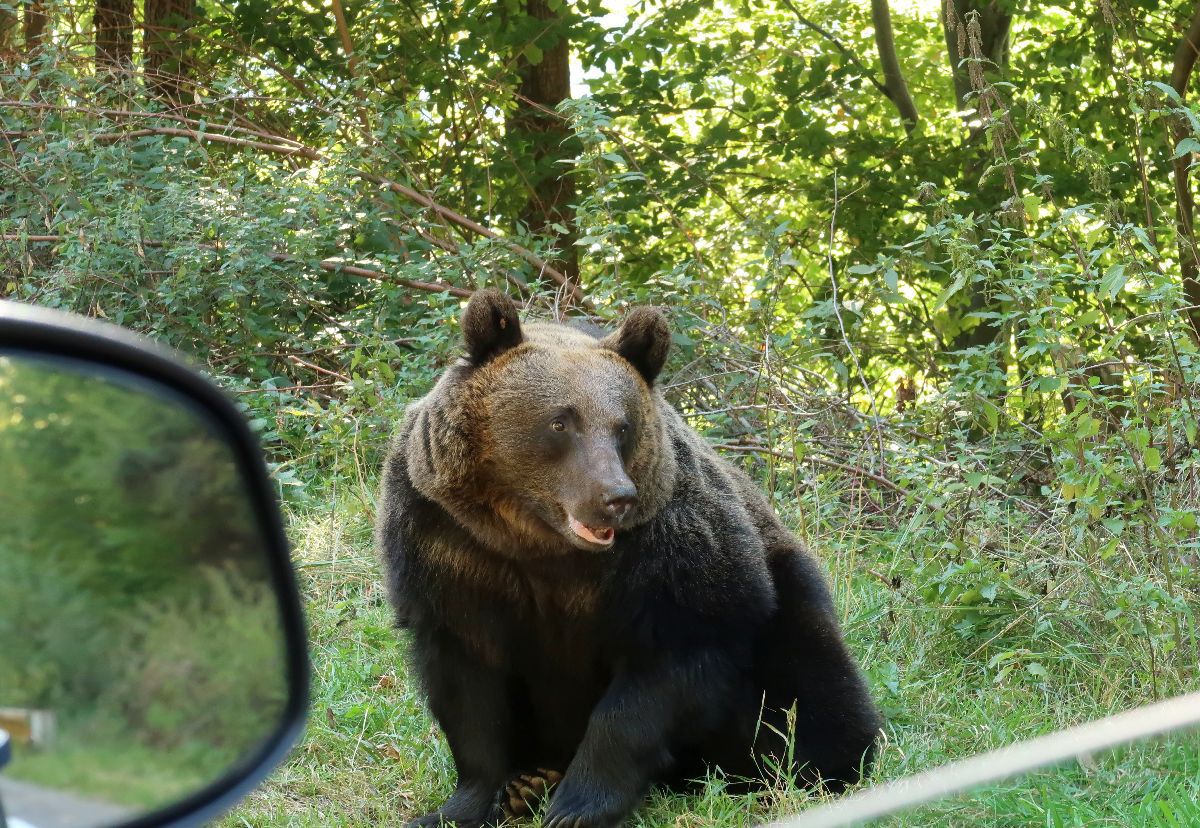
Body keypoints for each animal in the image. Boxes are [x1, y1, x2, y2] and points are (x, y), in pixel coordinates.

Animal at [376, 290, 883, 825]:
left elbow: (659, 677)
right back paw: (529, 781)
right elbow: (469, 690)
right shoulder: (449, 549)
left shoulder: (669, 555)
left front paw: (577, 806)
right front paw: (467, 803)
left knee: (812, 679)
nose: (615, 497)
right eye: (560, 421)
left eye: (622, 426)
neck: (538, 541)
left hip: (784, 593)